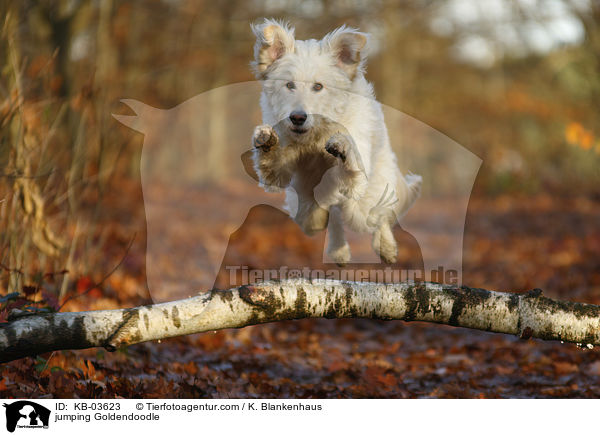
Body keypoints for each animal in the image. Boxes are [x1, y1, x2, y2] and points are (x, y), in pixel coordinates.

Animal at [251, 19, 420, 266]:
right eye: (289, 85)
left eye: (318, 86)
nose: (298, 117)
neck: (315, 136)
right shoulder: (282, 178)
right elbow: (273, 168)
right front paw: (266, 141)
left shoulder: (355, 178)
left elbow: (352, 168)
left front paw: (343, 147)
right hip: (304, 208)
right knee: (327, 219)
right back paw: (338, 251)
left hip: (366, 202)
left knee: (375, 216)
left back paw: (386, 248)